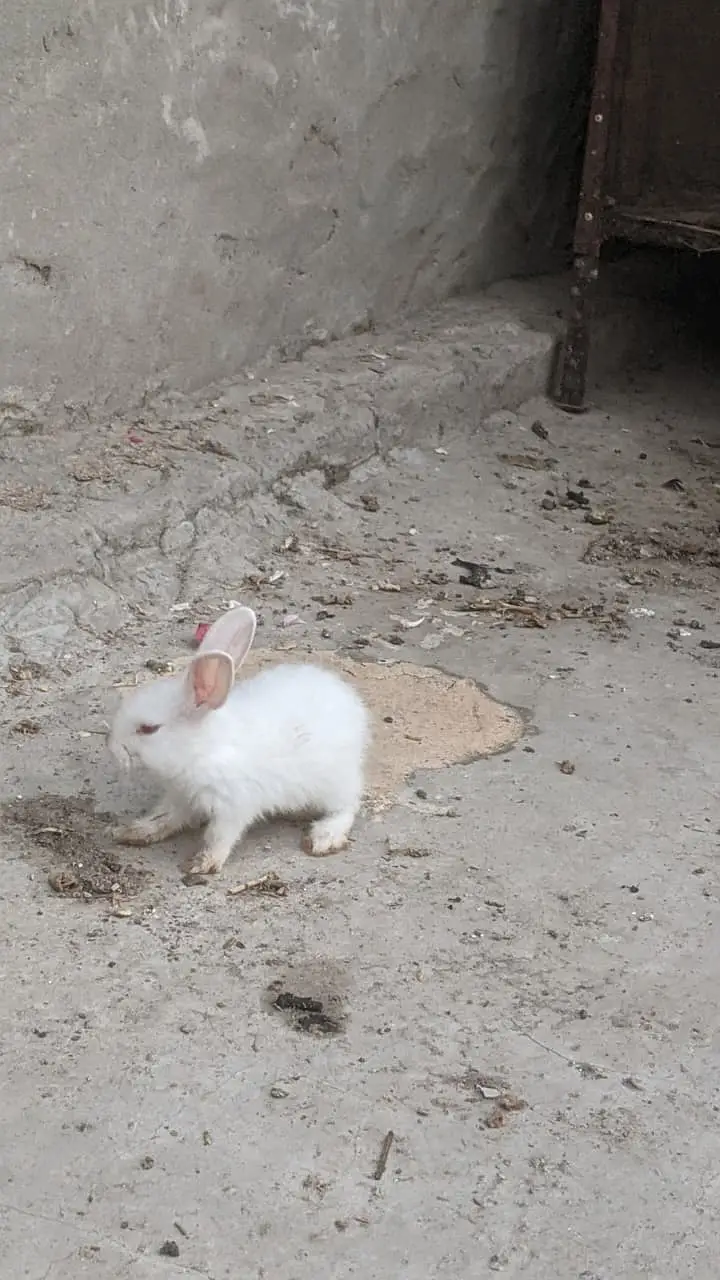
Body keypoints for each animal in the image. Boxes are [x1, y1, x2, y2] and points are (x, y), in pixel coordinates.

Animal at [108, 605, 370, 876]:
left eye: (148, 729)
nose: (114, 748)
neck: (202, 749)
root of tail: (351, 702)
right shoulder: (181, 796)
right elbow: (165, 816)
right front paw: (134, 832)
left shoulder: (233, 805)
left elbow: (219, 836)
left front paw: (202, 863)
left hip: (334, 782)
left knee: (348, 805)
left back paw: (323, 837)